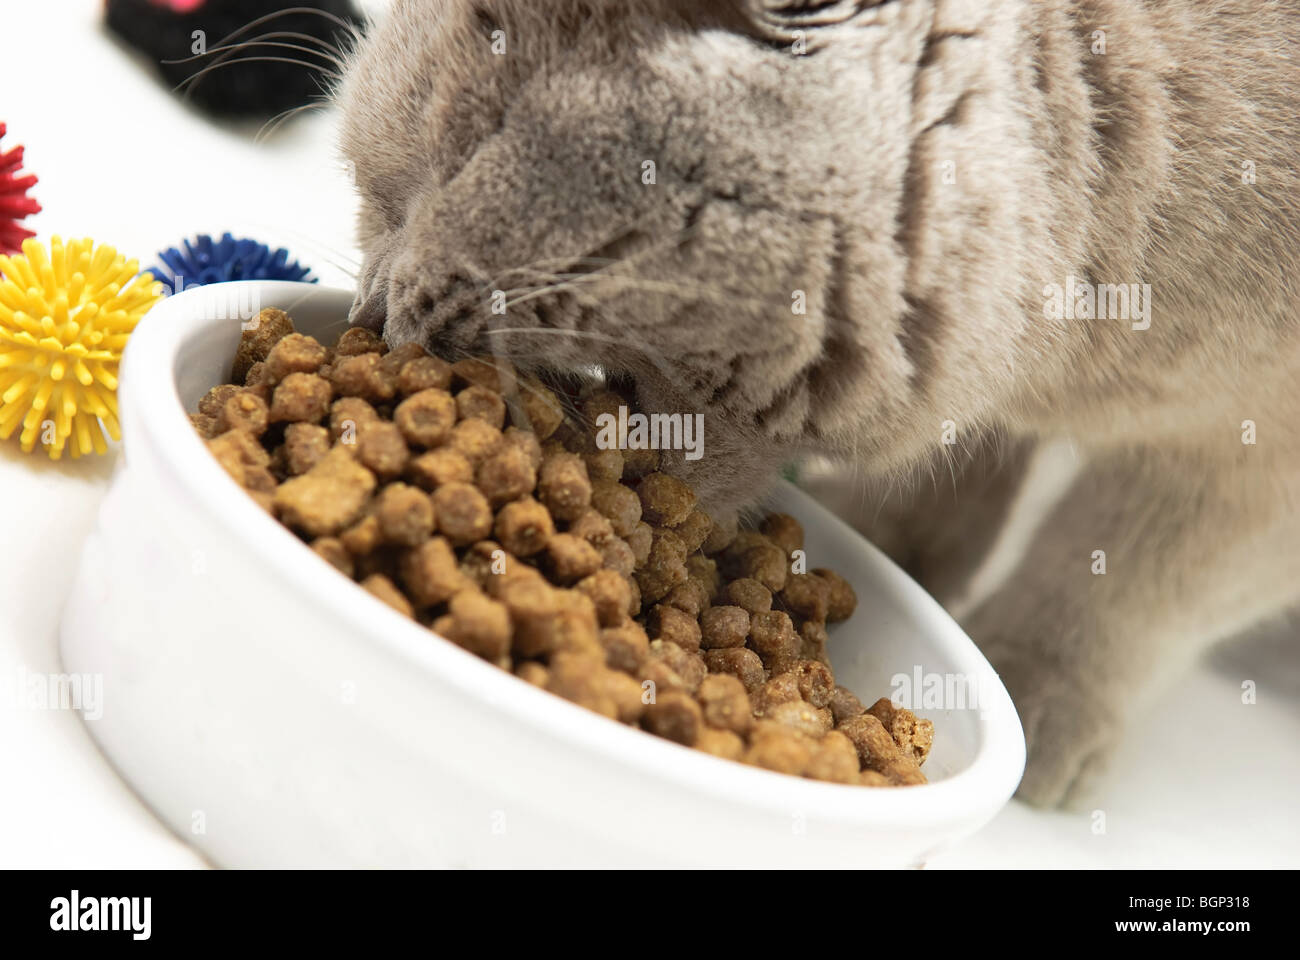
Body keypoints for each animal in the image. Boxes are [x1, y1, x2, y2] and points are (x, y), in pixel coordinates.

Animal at [332, 0, 1300, 806]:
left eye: (465, 150)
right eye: (372, 199)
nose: (372, 319)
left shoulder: (1260, 454)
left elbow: (1135, 567)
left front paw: (1036, 694)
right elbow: (972, 465)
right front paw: (905, 550)